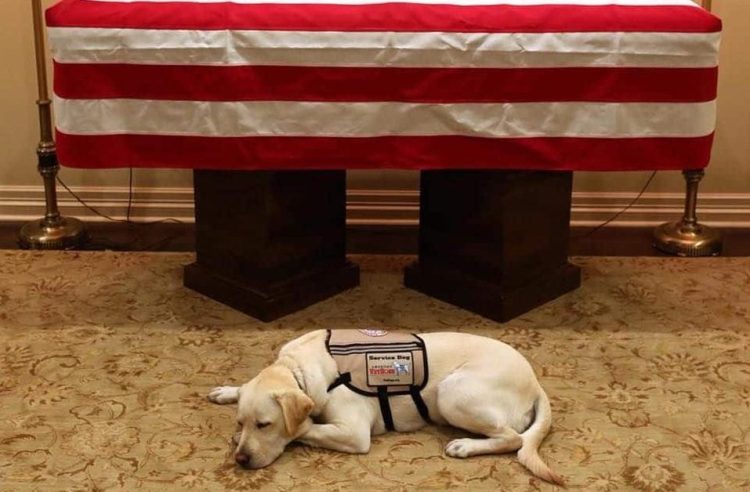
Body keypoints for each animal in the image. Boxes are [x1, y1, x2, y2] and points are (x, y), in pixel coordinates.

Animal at [206, 330, 564, 484]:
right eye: (241, 422)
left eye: (264, 424)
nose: (240, 459)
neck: (297, 369)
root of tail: (536, 381)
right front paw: (228, 391)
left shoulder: (353, 434)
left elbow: (305, 428)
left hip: (452, 392)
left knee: (514, 439)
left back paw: (464, 446)